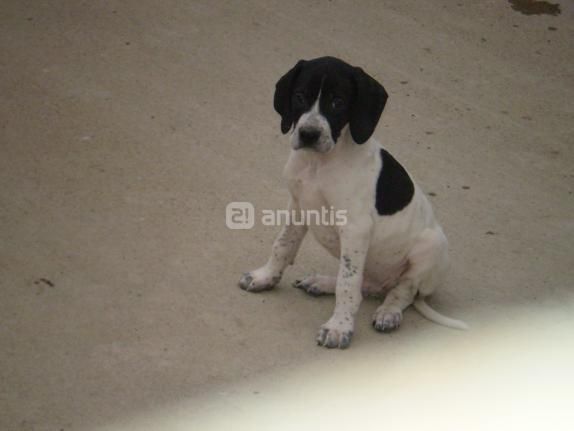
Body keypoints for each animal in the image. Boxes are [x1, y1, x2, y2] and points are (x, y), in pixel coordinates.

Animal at [238, 57, 468, 350]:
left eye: (338, 102)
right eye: (299, 96)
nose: (309, 134)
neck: (319, 164)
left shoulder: (355, 228)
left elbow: (347, 285)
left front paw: (339, 327)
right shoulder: (298, 206)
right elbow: (282, 246)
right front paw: (265, 277)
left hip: (432, 247)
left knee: (402, 291)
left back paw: (388, 312)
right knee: (369, 285)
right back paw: (322, 282)